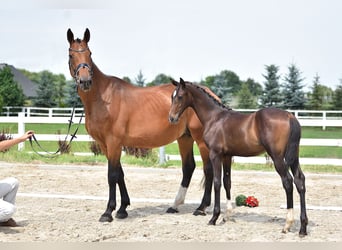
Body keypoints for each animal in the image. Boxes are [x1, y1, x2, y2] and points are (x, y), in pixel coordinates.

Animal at [67, 28, 216, 222]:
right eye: (71, 55)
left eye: (89, 54)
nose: (85, 81)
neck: (103, 98)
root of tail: (209, 93)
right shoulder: (106, 144)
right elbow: (119, 174)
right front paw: (122, 209)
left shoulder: (114, 142)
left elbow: (112, 175)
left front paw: (108, 212)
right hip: (185, 137)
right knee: (188, 167)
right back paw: (174, 206)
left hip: (201, 140)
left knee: (208, 169)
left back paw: (201, 207)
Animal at [170, 78, 308, 236]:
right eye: (172, 97)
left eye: (180, 96)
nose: (171, 118)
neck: (214, 118)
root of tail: (290, 116)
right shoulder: (227, 156)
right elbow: (227, 182)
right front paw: (227, 216)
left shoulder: (215, 154)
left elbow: (217, 182)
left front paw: (214, 218)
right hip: (293, 157)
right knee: (300, 181)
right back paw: (303, 228)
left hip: (277, 157)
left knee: (288, 182)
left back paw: (287, 224)